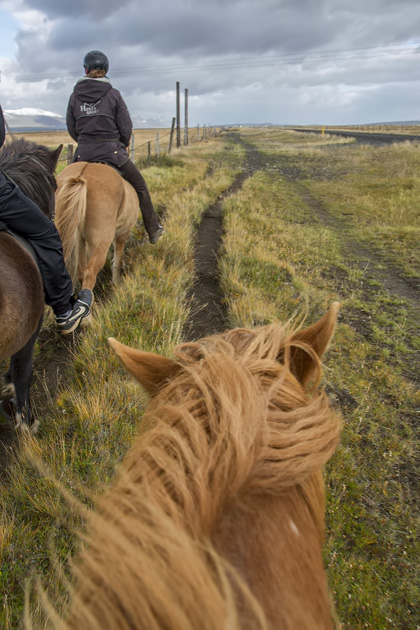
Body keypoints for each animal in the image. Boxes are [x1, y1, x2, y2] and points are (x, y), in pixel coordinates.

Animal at [55, 164, 140, 298]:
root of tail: (81, 176)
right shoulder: (123, 234)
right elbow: (118, 259)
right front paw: (116, 283)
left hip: (76, 241)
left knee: (80, 273)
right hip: (100, 243)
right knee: (89, 273)